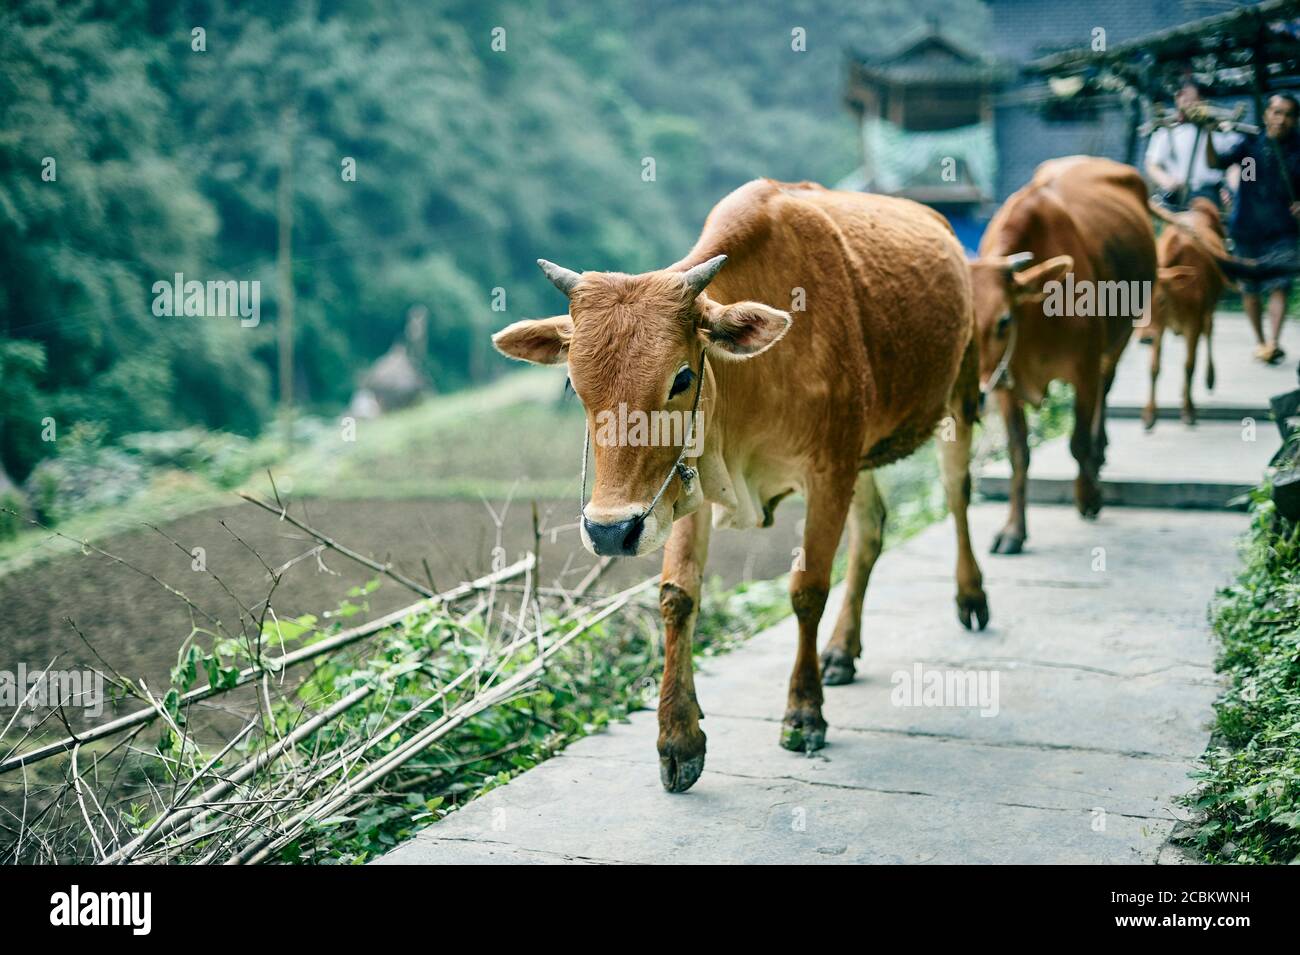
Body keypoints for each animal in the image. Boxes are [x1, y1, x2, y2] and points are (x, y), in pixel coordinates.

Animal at [492, 178, 989, 793]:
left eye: (682, 377)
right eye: (572, 384)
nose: (610, 532)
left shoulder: (828, 470)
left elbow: (807, 589)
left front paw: (803, 713)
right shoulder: (687, 489)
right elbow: (678, 595)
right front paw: (678, 739)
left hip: (958, 399)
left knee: (957, 494)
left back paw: (971, 597)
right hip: (865, 455)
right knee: (872, 531)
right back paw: (842, 651)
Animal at [969, 157, 1158, 555]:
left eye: (1003, 321)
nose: (973, 397)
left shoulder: (1083, 368)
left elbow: (1077, 442)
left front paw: (1089, 498)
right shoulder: (1003, 384)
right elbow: (1018, 454)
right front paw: (1013, 530)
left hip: (1121, 337)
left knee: (1105, 390)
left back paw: (1099, 454)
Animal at [1140, 197, 1227, 428]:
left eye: (1160, 300)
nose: (1144, 338)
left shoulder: (1193, 323)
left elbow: (1189, 365)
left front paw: (1188, 410)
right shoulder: (1159, 328)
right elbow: (1154, 368)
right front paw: (1149, 414)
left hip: (1211, 306)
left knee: (1209, 331)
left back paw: (1210, 379)